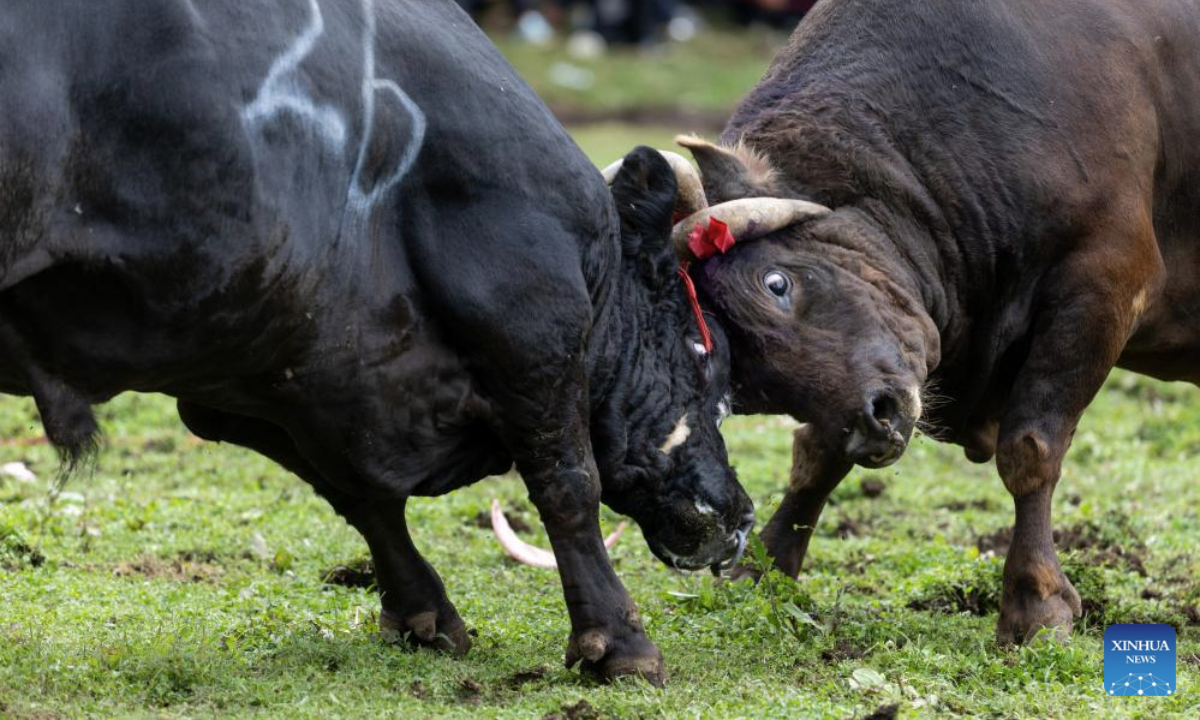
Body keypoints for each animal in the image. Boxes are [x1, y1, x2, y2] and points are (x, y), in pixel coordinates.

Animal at [0, 0, 755, 684]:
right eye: (709, 355)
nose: (742, 511)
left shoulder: (259, 379)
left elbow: (358, 497)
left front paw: (423, 611)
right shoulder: (532, 322)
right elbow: (569, 482)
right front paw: (620, 644)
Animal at [640, 0, 1200, 644]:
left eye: (776, 284)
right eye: (746, 383)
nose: (873, 426)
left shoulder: (1104, 283)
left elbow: (1030, 450)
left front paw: (1034, 602)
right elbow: (816, 453)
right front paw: (764, 568)